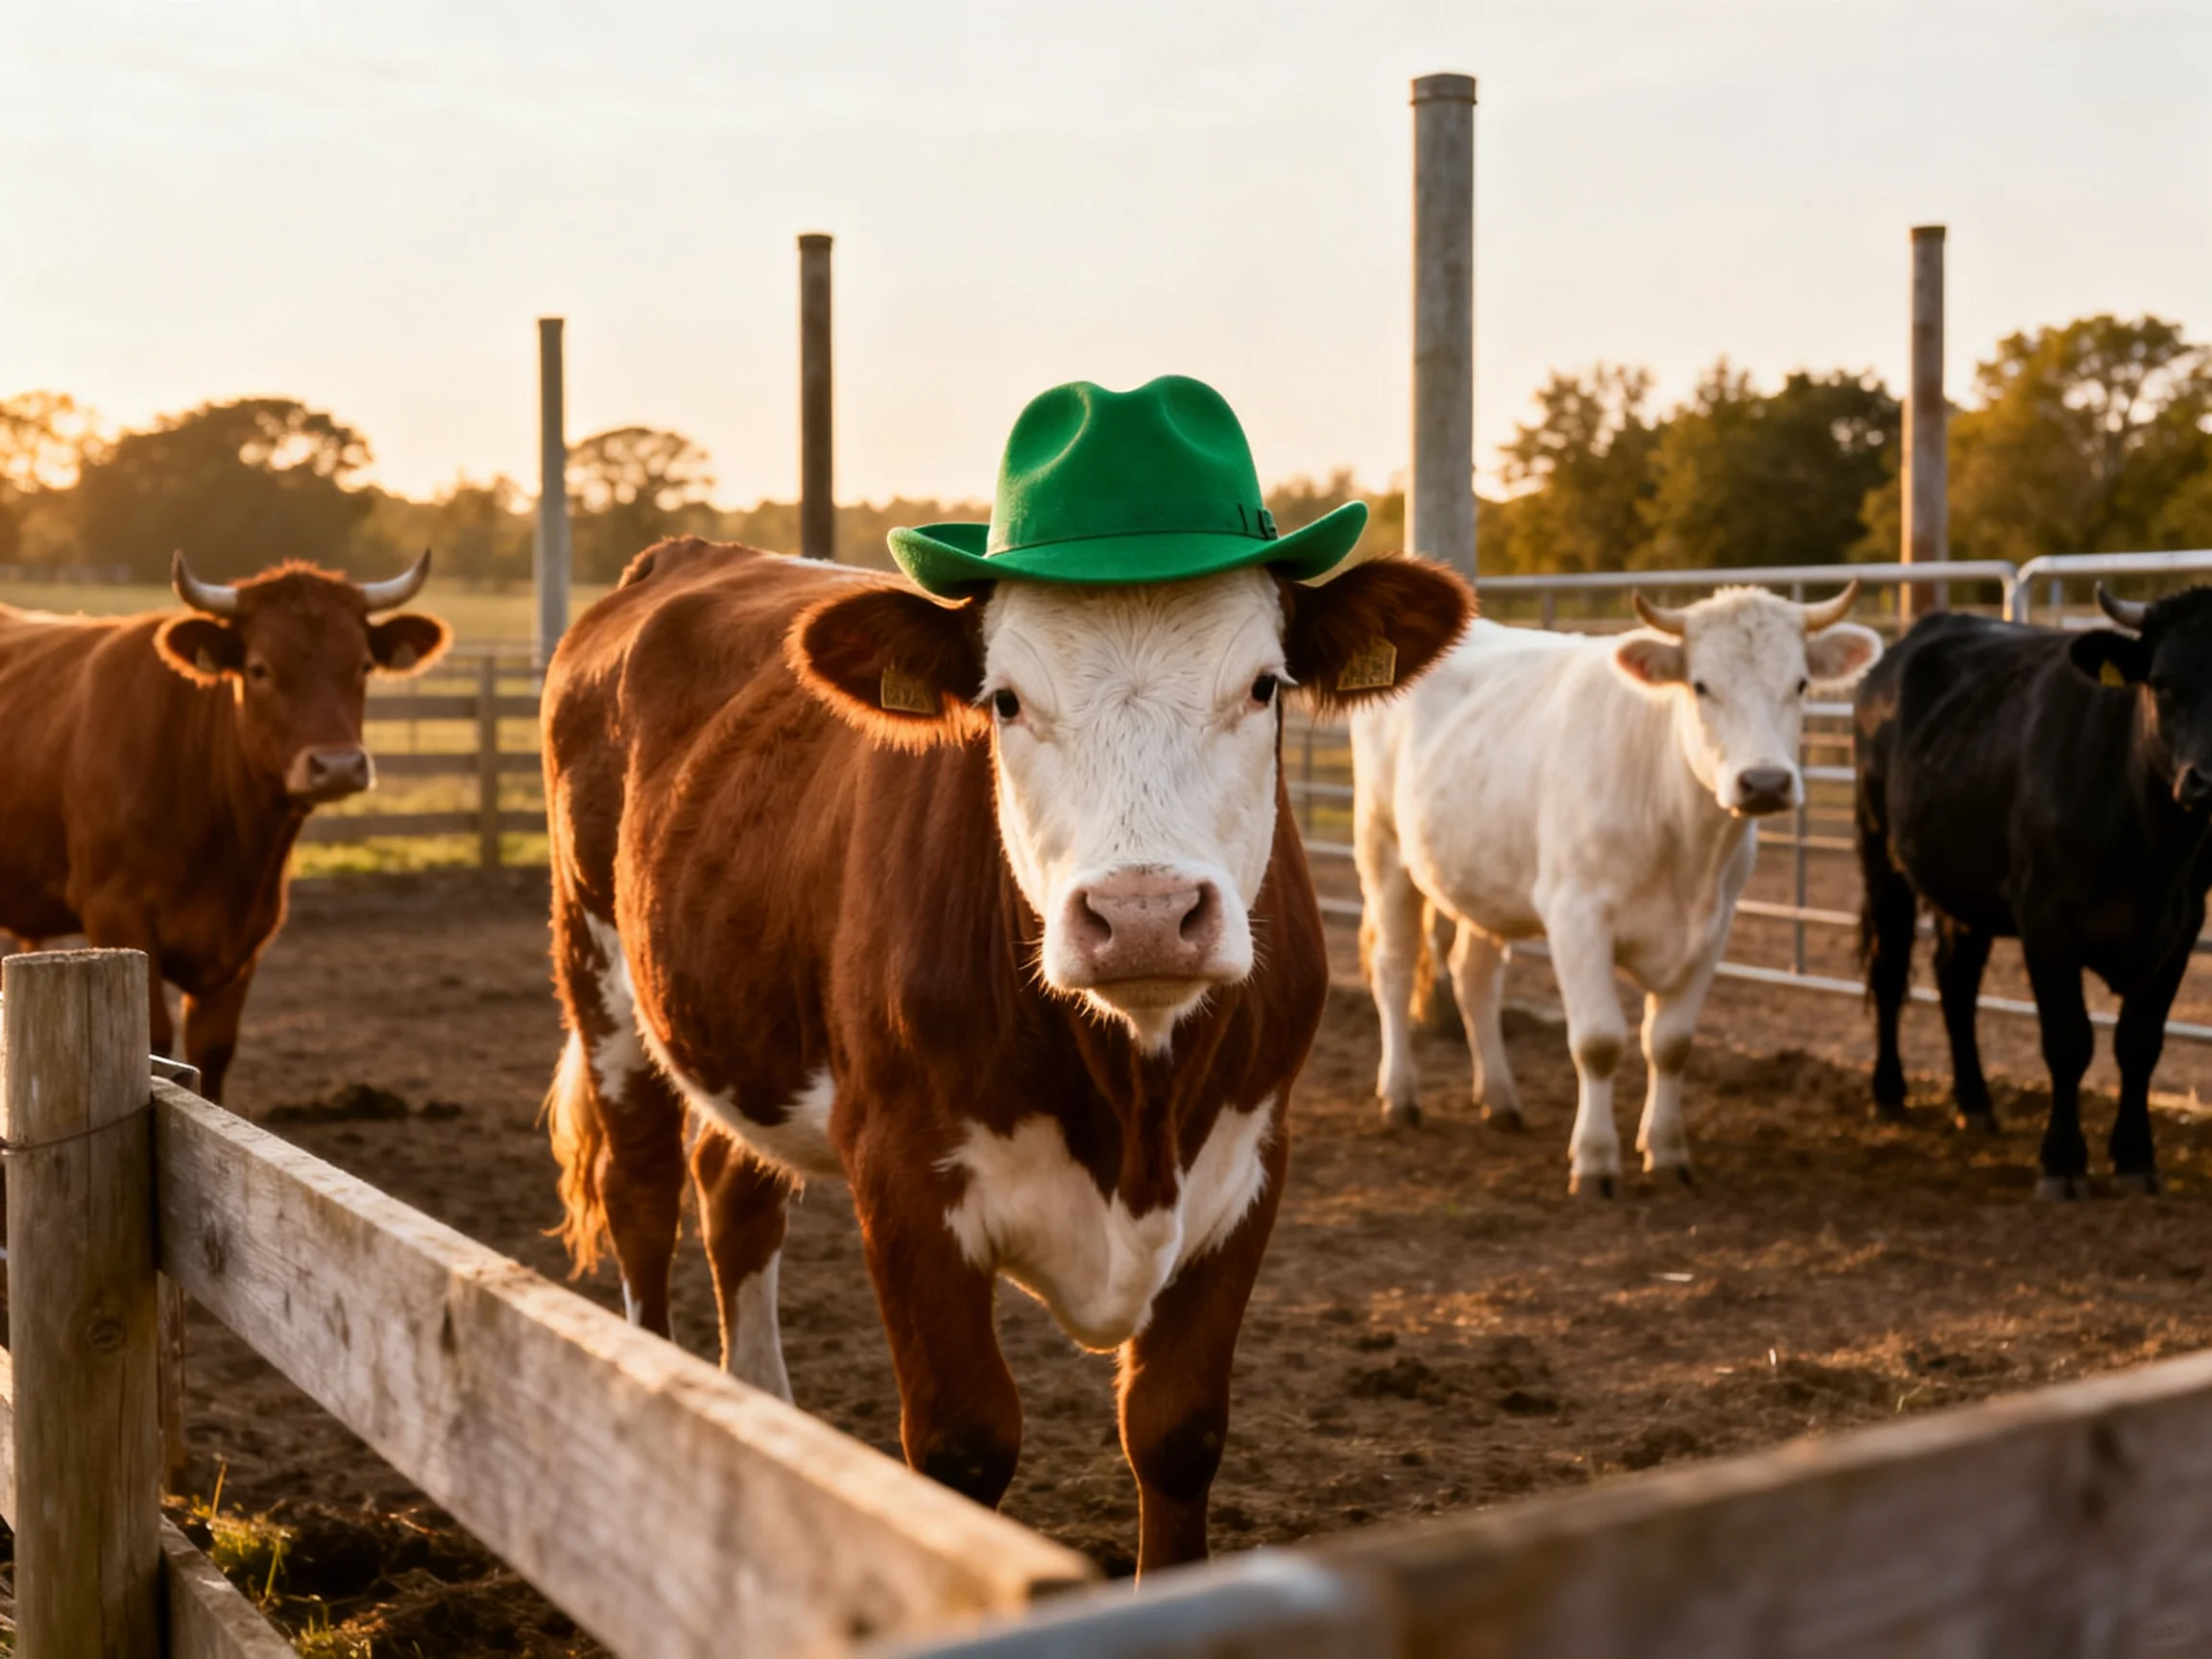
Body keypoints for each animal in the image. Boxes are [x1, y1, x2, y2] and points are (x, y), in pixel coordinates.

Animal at [0, 552, 449, 1099]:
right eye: (259, 669)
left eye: (363, 665)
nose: (339, 766)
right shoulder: (113, 910)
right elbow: (155, 1040)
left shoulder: (247, 936)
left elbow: (212, 1053)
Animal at [540, 537, 1469, 1573]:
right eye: (1007, 701)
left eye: (1266, 685)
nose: (1144, 916)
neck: (1135, 1105)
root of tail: (692, 554)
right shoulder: (900, 1173)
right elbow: (964, 1444)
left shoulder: (1251, 1166)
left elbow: (1177, 1432)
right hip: (600, 971)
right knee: (643, 1194)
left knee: (736, 1194)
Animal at [1353, 583, 1882, 1195]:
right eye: (1701, 685)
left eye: (1799, 683)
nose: (1766, 782)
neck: (1685, 843)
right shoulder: (1576, 915)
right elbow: (1599, 1042)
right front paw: (1595, 1159)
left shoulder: (1715, 925)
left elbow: (1672, 1044)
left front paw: (1668, 1150)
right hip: (1384, 848)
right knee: (1394, 967)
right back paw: (1399, 1095)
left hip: (1481, 875)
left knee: (1475, 977)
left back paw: (1501, 1100)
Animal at [1856, 585, 2212, 1198]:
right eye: (2163, 681)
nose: (2206, 780)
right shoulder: (2046, 923)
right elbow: (2068, 1042)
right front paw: (2062, 1162)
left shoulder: (2181, 930)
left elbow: (2140, 1043)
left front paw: (2136, 1158)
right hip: (1882, 855)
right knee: (1890, 970)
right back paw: (1889, 1092)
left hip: (1964, 888)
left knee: (1956, 982)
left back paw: (1974, 1102)